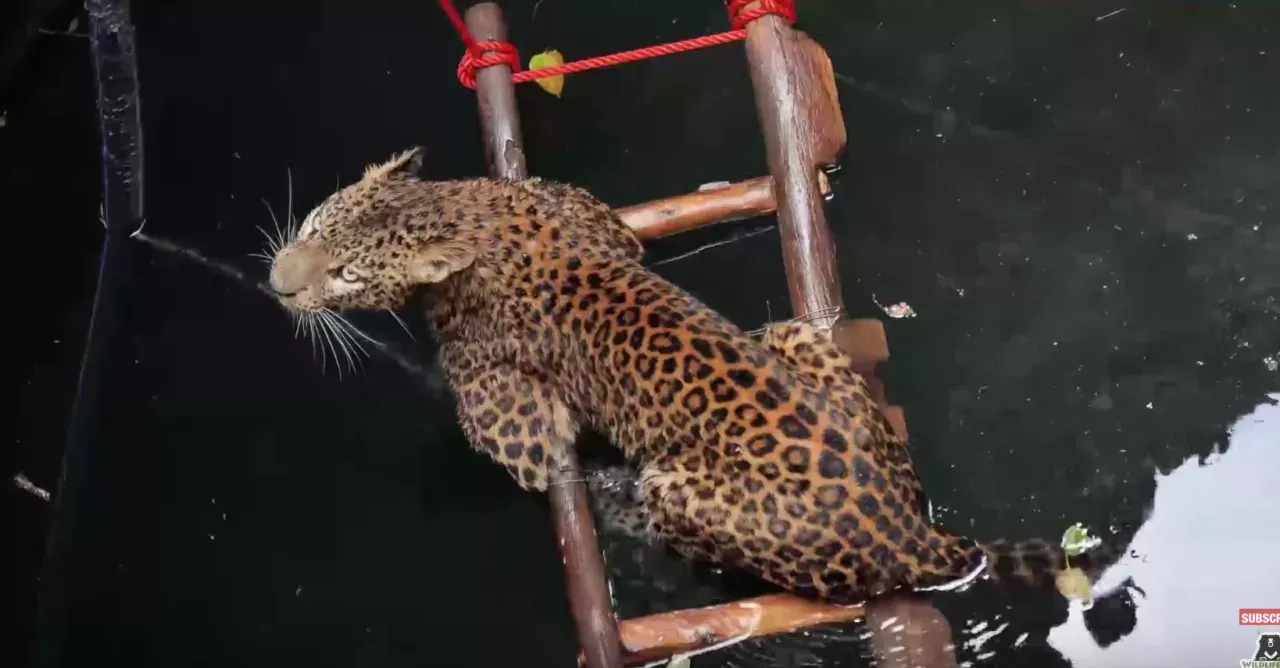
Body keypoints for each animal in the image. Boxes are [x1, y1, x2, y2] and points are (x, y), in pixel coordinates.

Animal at [267, 147, 1117, 605]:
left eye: (344, 274)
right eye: (309, 226)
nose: (277, 284)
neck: (466, 215)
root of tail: (915, 535)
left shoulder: (504, 408)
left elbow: (524, 444)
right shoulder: (584, 211)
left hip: (680, 488)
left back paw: (618, 501)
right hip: (789, 334)